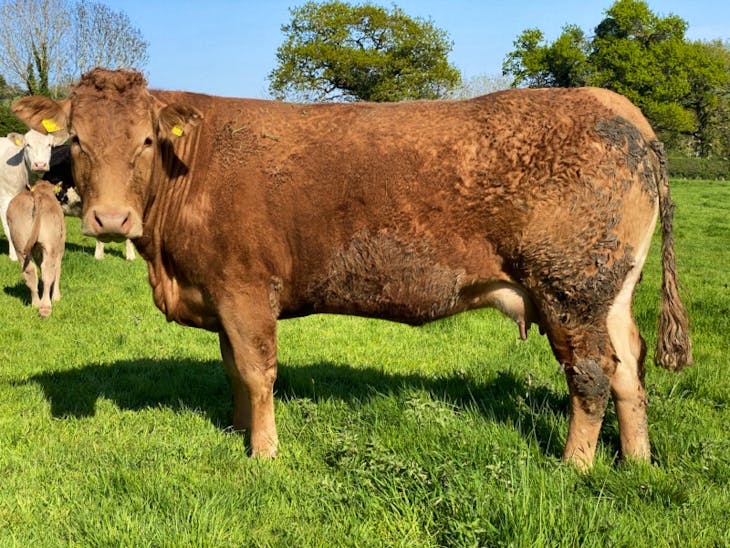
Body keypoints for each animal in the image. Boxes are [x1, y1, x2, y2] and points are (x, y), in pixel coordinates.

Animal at [1, 129, 66, 260]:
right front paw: (13, 256)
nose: (40, 164)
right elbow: (7, 228)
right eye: (28, 145)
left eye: (49, 145)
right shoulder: (5, 197)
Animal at [6, 180, 66, 318]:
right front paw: (56, 297)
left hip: (20, 242)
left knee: (29, 270)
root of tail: (36, 195)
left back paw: (36, 303)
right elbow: (57, 270)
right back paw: (45, 307)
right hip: (51, 244)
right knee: (48, 269)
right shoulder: (60, 246)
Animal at [13, 68, 693, 469]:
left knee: (591, 375)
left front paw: (264, 452)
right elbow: (233, 371)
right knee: (628, 367)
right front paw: (237, 431)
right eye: (76, 139)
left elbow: (257, 372)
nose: (110, 220)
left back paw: (574, 466)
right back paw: (636, 461)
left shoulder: (245, 289)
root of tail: (623, 110)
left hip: (568, 290)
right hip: (610, 292)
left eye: (147, 141)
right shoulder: (222, 294)